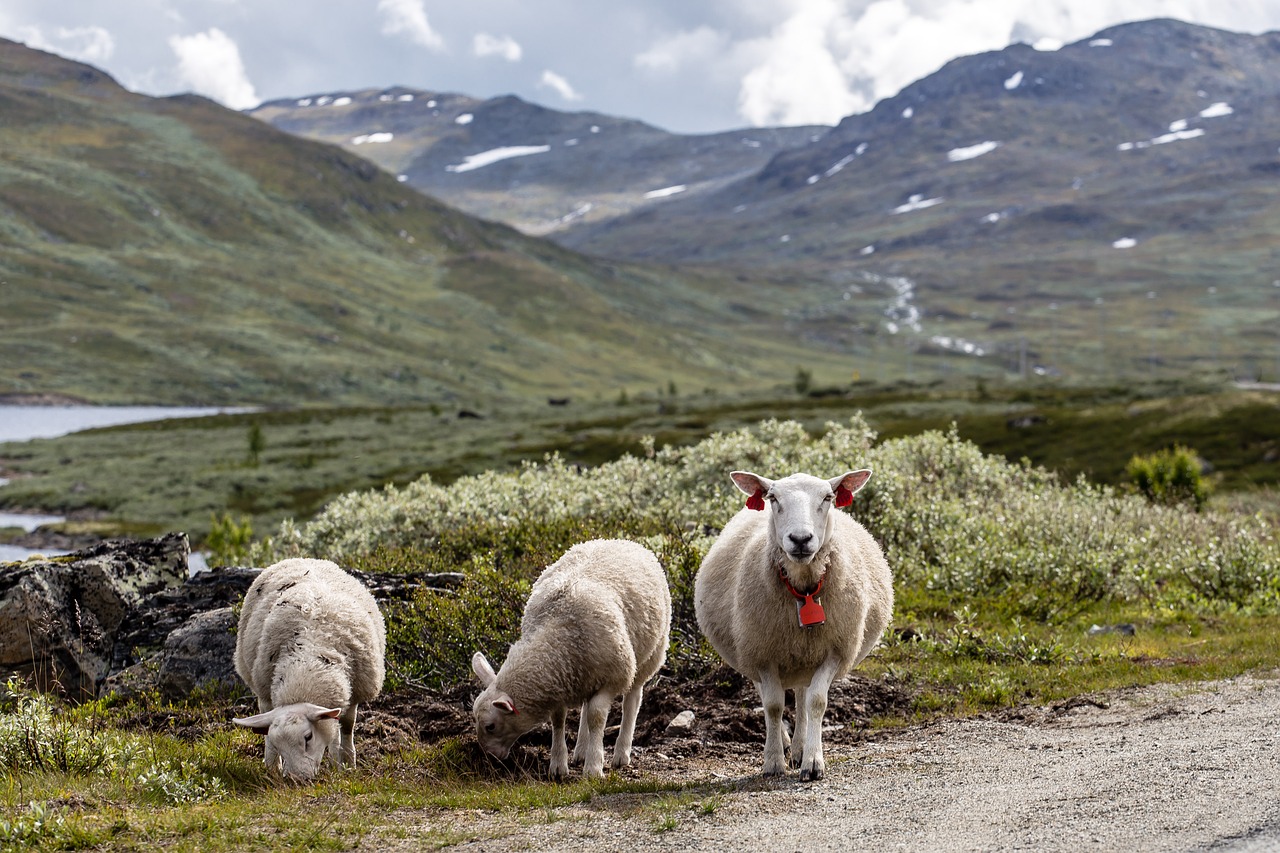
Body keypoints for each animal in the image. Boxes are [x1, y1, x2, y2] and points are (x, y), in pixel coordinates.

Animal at [232, 555, 384, 778]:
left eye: (308, 737)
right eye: (280, 746)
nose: (297, 779)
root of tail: (302, 557)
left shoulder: (355, 688)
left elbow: (347, 726)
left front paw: (346, 763)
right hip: (260, 680)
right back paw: (272, 766)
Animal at [468, 537, 670, 778]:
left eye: (490, 726)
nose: (488, 757)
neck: (558, 630)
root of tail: (622, 540)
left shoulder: (613, 677)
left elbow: (596, 716)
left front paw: (593, 767)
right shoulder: (560, 683)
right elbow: (559, 720)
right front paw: (558, 764)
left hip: (649, 656)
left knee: (632, 701)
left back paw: (621, 753)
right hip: (586, 675)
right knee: (585, 707)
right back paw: (581, 750)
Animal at [696, 468, 896, 778]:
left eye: (827, 498)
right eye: (773, 498)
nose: (800, 539)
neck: (804, 589)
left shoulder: (835, 651)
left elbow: (816, 702)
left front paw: (812, 761)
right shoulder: (762, 654)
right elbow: (773, 705)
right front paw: (773, 761)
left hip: (806, 655)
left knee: (802, 697)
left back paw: (800, 747)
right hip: (750, 649)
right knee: (769, 695)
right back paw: (785, 741)